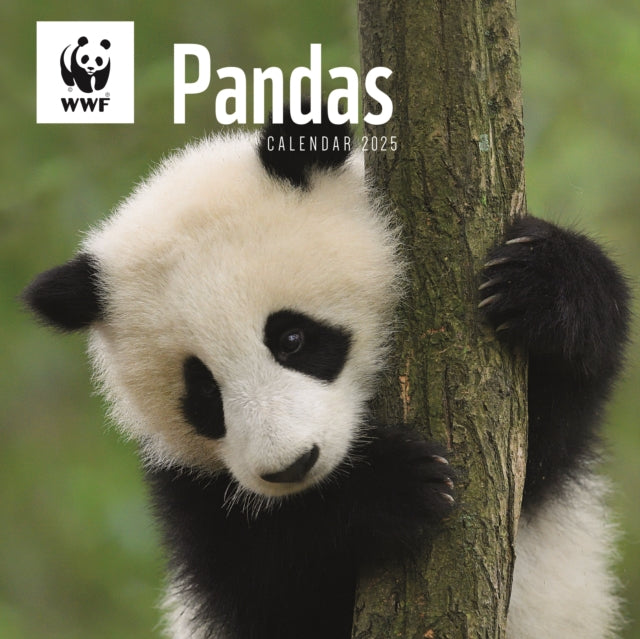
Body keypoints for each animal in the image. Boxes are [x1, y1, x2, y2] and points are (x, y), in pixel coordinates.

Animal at [23, 108, 629, 639]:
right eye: (202, 394)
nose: (292, 466)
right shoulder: (188, 492)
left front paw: (540, 281)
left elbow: (543, 438)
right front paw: (391, 486)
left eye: (292, 339)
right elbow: (267, 582)